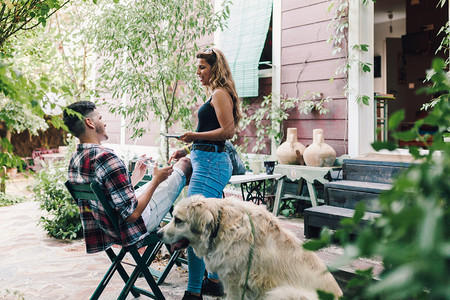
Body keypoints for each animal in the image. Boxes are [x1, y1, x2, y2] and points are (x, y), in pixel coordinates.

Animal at [156, 196, 342, 298]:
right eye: (173, 217)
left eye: (178, 220)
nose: (158, 233)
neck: (220, 225)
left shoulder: (235, 283)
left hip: (281, 292)